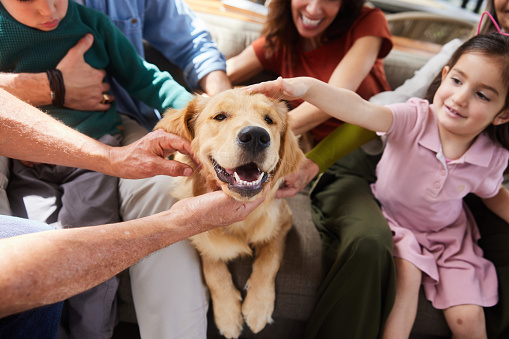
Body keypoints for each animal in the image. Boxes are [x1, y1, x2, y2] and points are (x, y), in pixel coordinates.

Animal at [155, 89, 304, 338]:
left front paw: (258, 306)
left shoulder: (283, 221)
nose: (256, 136)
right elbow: (214, 271)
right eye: (220, 116)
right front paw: (228, 315)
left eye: (269, 120)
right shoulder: (200, 234)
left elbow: (269, 258)